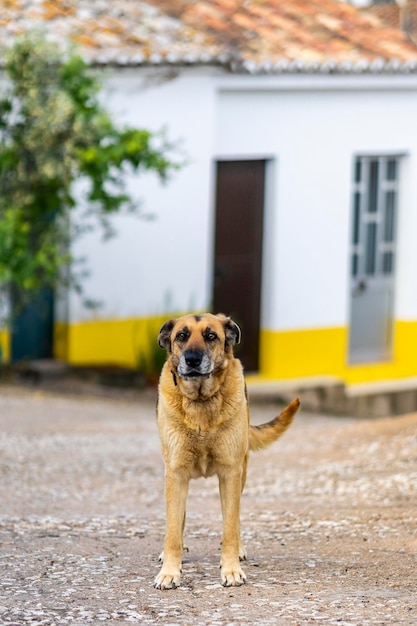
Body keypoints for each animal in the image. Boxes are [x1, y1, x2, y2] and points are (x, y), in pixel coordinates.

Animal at [153, 314, 300, 588]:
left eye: (211, 336)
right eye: (182, 336)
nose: (192, 359)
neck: (200, 403)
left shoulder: (230, 474)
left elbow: (230, 526)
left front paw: (231, 569)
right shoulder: (175, 474)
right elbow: (173, 530)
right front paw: (170, 570)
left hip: (241, 473)